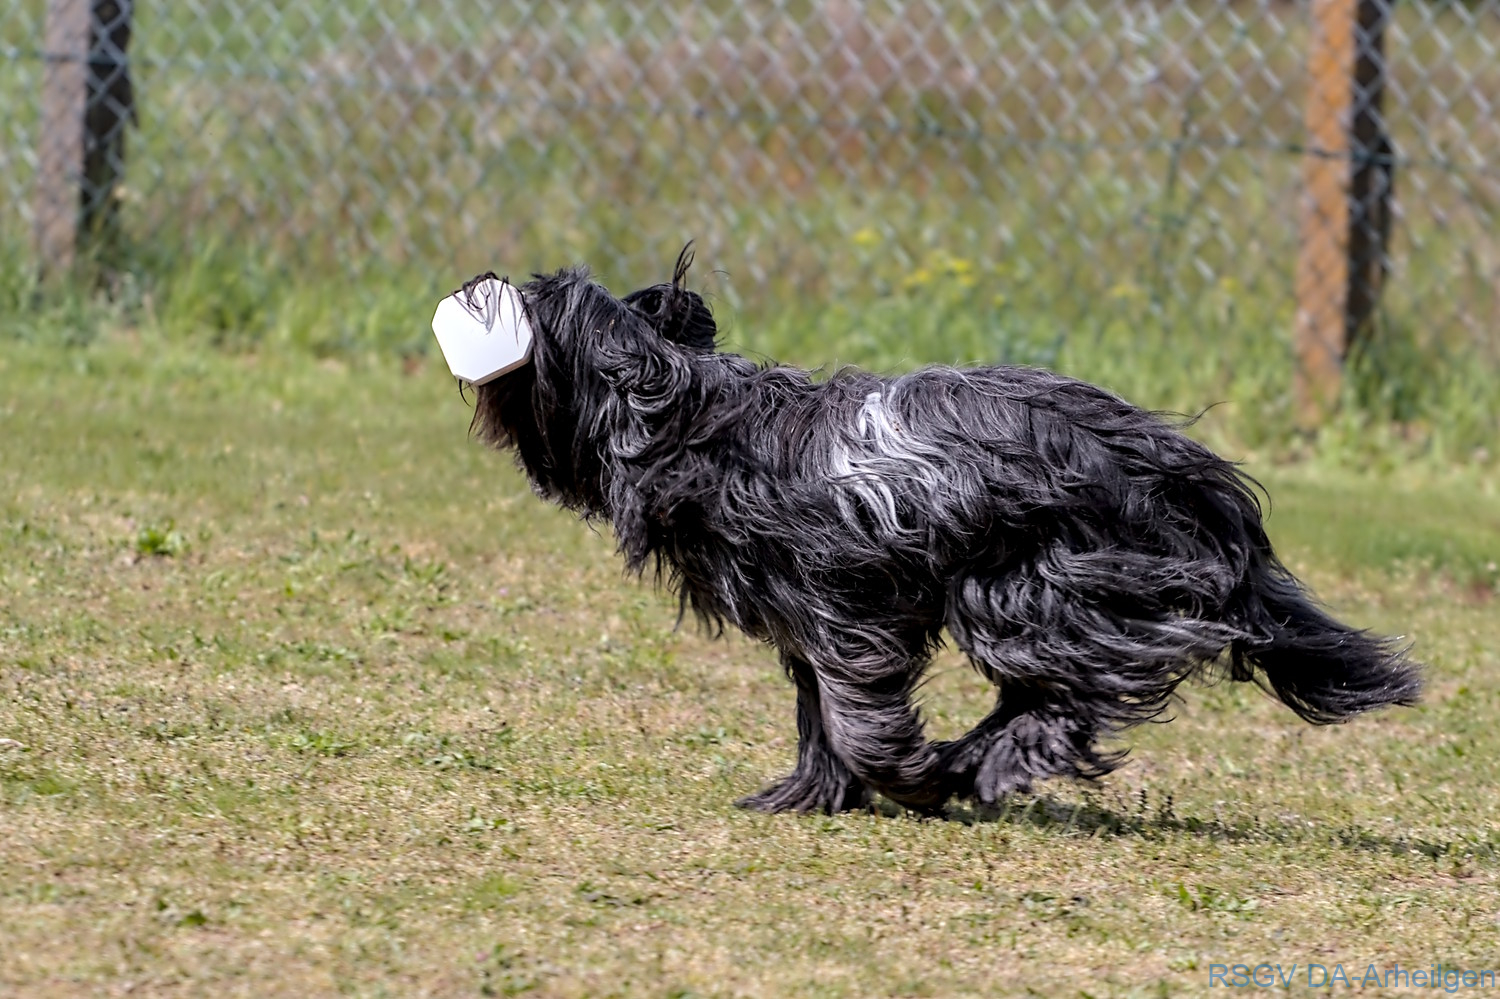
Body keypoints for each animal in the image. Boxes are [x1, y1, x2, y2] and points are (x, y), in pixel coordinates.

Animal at [465, 249, 1421, 815]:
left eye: (543, 297)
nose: (482, 280)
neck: (690, 422)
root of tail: (1182, 467)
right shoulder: (810, 622)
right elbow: (818, 712)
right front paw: (810, 792)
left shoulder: (849, 613)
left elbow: (857, 713)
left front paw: (904, 777)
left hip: (1038, 585)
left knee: (1078, 692)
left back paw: (976, 766)